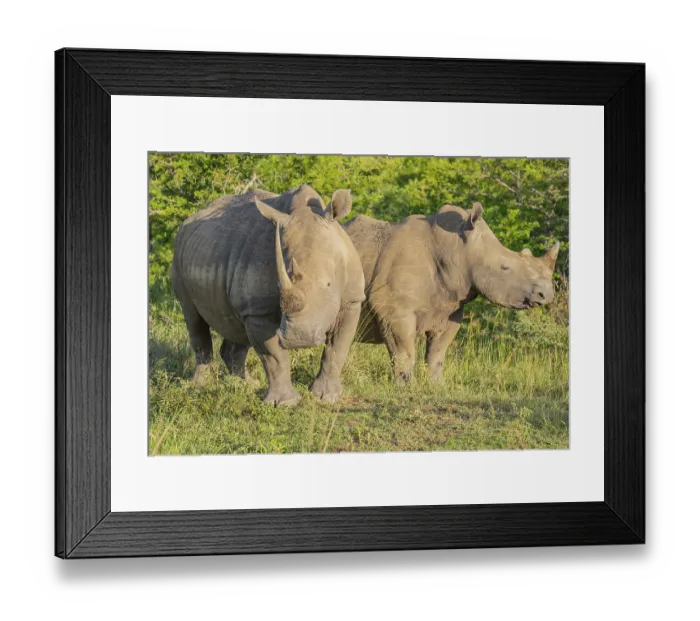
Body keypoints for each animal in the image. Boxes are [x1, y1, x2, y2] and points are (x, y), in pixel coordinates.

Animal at [171, 185, 366, 406]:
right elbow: (274, 357)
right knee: (193, 318)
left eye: (328, 284)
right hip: (180, 253)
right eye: (280, 285)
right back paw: (199, 387)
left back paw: (245, 385)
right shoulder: (259, 309)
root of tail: (188, 221)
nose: (298, 339)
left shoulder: (352, 300)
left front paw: (326, 397)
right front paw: (285, 403)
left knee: (235, 326)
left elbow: (337, 348)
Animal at [343, 202, 559, 384]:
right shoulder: (392, 307)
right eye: (504, 267)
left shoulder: (449, 306)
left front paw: (437, 385)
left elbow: (437, 353)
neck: (456, 251)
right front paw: (405, 387)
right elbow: (404, 352)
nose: (546, 295)